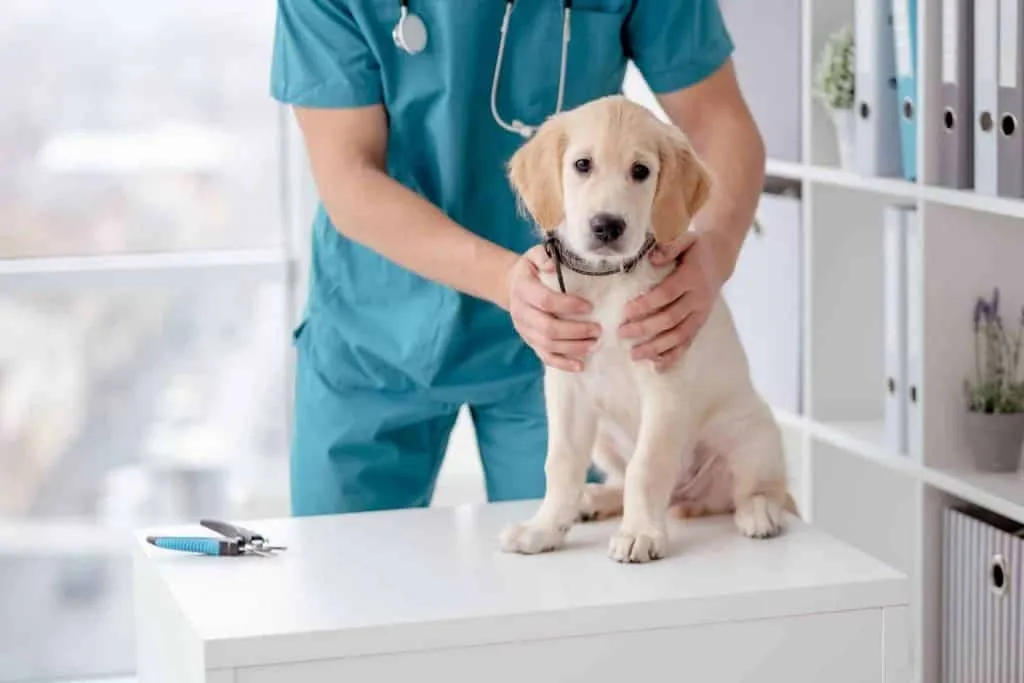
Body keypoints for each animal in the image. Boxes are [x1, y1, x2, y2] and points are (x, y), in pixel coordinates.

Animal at [499, 97, 794, 565]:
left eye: (641, 171)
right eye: (582, 164)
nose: (607, 226)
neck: (605, 280)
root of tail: (685, 498)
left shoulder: (663, 381)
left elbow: (648, 466)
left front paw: (640, 534)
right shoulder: (567, 385)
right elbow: (561, 463)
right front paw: (543, 529)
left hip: (752, 431)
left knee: (759, 487)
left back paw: (758, 513)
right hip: (602, 435)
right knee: (624, 482)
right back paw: (593, 500)